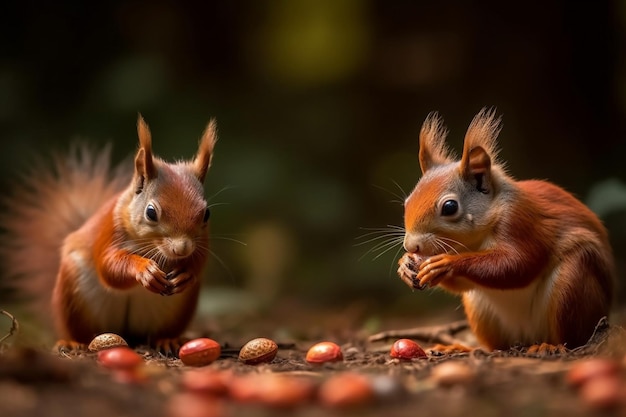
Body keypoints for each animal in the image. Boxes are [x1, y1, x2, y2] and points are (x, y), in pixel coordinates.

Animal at [1, 115, 217, 350]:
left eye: (206, 214)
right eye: (151, 212)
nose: (182, 249)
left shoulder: (203, 242)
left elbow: (199, 260)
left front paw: (187, 274)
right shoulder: (109, 230)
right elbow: (109, 266)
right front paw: (144, 269)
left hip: (175, 310)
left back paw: (168, 340)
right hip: (74, 296)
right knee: (81, 331)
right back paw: (72, 342)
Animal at [398, 109, 612, 350]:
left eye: (450, 207)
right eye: (407, 202)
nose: (411, 245)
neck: (474, 242)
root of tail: (527, 338)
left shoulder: (520, 220)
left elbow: (517, 264)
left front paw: (447, 264)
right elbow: (463, 284)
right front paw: (405, 265)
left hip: (573, 283)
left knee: (571, 338)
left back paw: (550, 347)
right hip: (481, 310)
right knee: (495, 345)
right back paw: (460, 347)